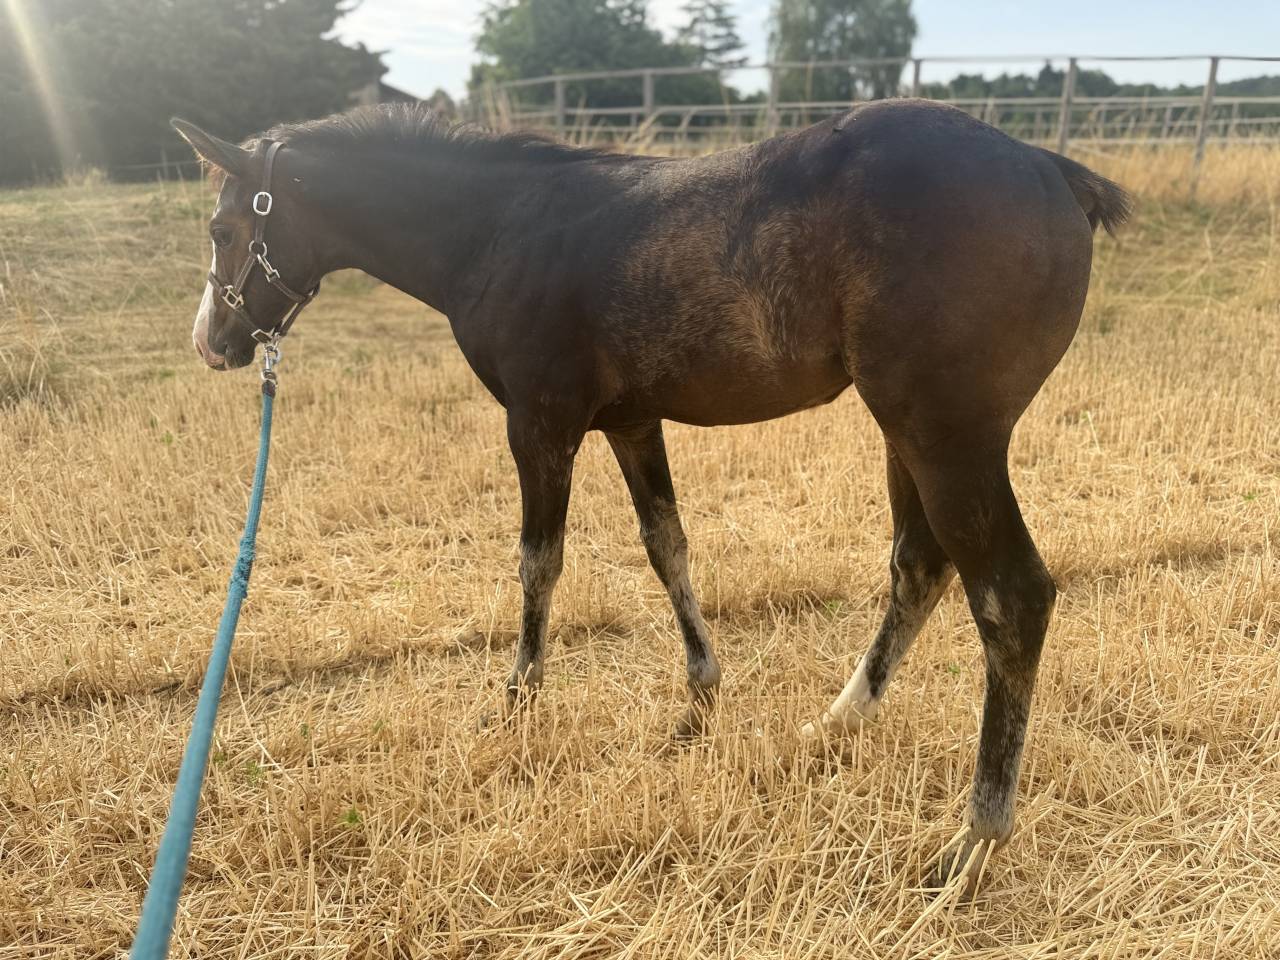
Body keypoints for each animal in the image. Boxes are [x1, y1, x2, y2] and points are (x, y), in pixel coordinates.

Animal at [174, 99, 1130, 889]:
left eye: (222, 226)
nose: (211, 343)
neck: (500, 228)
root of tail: (1053, 170)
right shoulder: (632, 423)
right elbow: (666, 542)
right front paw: (700, 695)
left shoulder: (540, 422)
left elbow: (540, 562)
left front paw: (518, 703)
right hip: (910, 435)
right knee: (919, 567)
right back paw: (836, 724)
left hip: (945, 435)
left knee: (1011, 595)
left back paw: (972, 840)